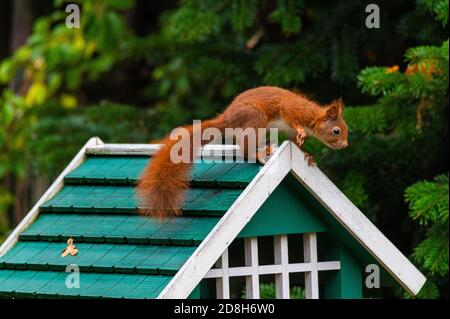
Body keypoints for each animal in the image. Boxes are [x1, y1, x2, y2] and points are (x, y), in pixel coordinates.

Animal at [137, 86, 348, 219]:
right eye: (336, 130)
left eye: (346, 128)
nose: (345, 145)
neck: (313, 117)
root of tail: (226, 119)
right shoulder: (292, 109)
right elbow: (290, 115)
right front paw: (302, 131)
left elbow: (296, 145)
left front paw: (308, 155)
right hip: (255, 117)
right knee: (244, 148)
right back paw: (259, 154)